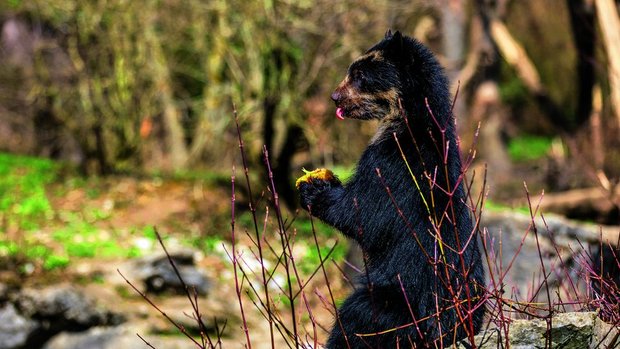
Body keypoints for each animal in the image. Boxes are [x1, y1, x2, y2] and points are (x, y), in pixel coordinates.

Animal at [298, 31, 486, 346]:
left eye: (360, 75)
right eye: (353, 70)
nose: (335, 97)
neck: (407, 119)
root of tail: (451, 329)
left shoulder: (391, 165)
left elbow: (361, 213)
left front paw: (314, 186)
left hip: (398, 302)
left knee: (356, 315)